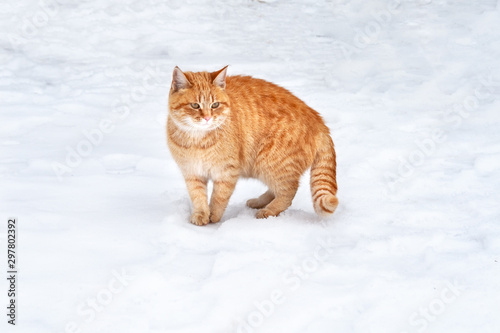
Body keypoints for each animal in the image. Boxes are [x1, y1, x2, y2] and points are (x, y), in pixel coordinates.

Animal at [166, 65, 338, 226]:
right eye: (195, 105)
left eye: (215, 105)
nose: (208, 118)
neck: (198, 140)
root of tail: (320, 122)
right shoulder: (192, 173)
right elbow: (198, 197)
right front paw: (201, 214)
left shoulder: (226, 172)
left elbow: (219, 198)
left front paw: (214, 215)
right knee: (276, 190)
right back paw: (258, 202)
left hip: (270, 162)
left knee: (288, 191)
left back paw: (268, 210)